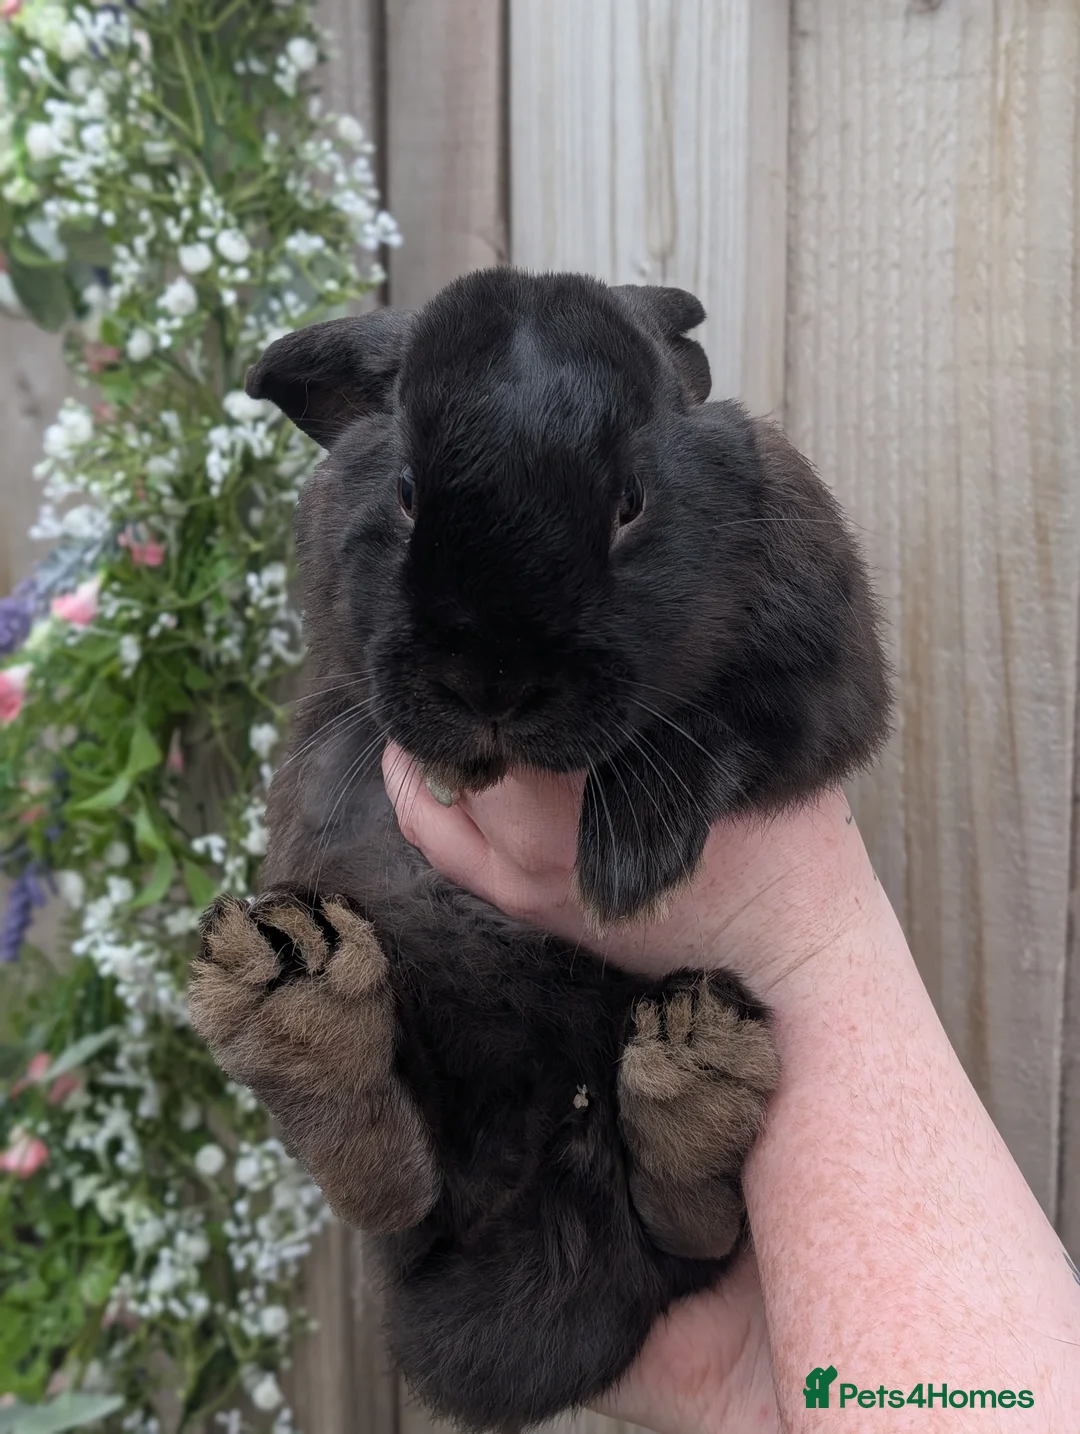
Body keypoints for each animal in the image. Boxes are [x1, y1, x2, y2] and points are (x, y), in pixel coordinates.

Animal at [188, 267, 891, 1432]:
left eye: (631, 503)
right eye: (407, 494)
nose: (493, 685)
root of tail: (544, 1196)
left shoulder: (824, 671)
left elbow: (710, 727)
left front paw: (628, 858)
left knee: (686, 1226)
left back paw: (691, 1079)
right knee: (401, 1193)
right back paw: (299, 1011)